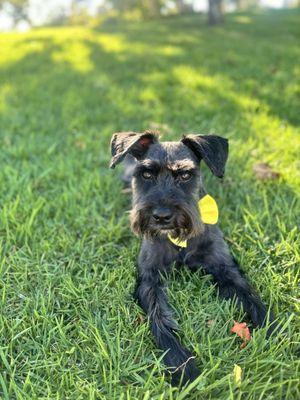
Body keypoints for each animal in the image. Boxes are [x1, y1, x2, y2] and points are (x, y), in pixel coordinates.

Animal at [109, 133, 274, 386]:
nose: (162, 216)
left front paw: (273, 328)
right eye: (146, 174)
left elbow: (251, 297)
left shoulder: (225, 267)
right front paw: (181, 363)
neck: (180, 240)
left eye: (186, 175)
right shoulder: (149, 280)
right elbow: (160, 319)